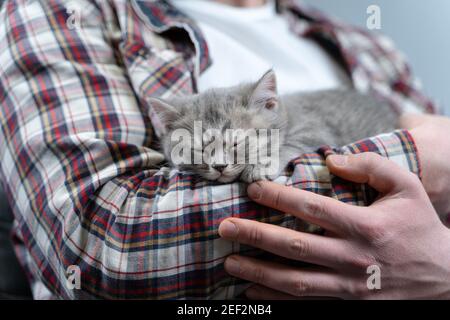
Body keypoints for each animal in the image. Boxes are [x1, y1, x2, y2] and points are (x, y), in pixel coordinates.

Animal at [149, 70, 396, 184]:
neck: (288, 114)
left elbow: (289, 145)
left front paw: (261, 165)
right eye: (200, 149)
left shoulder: (316, 129)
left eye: (236, 143)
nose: (219, 166)